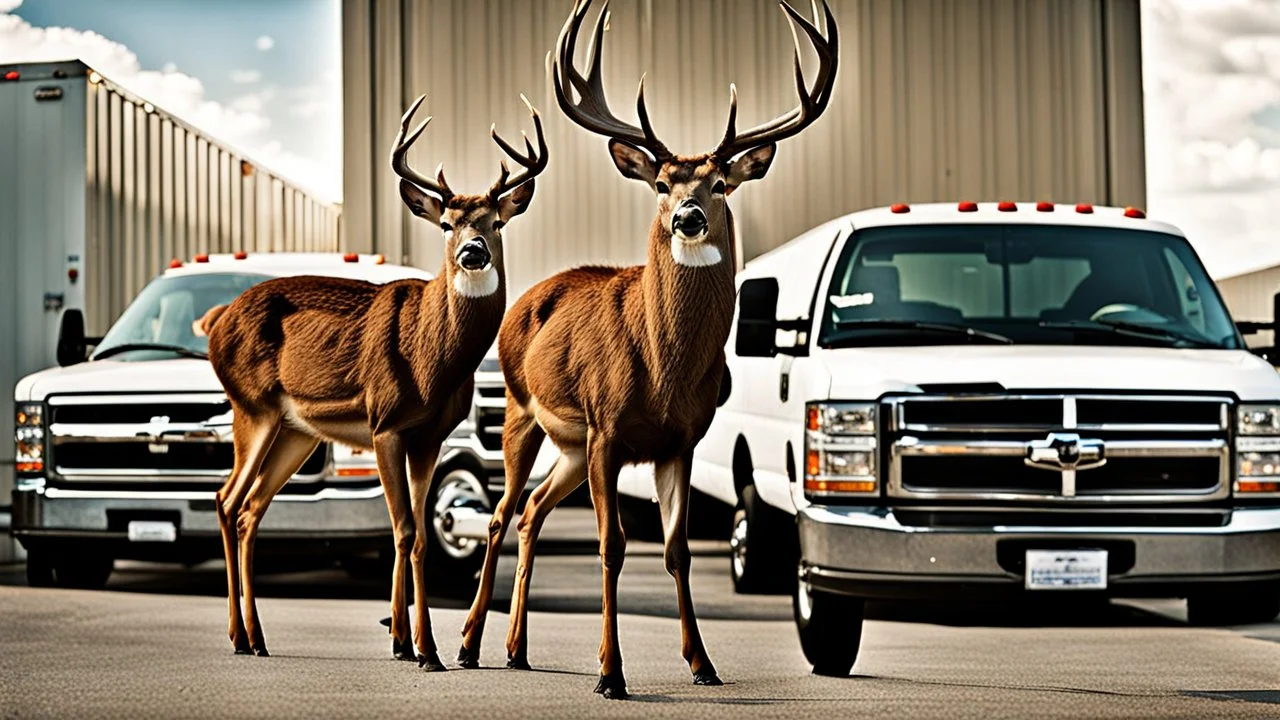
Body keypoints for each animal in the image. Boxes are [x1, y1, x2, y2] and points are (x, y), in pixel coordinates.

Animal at [204, 92, 545, 666]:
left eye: (496, 221)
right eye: (446, 223)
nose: (472, 251)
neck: (432, 358)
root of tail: (216, 320)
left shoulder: (429, 435)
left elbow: (419, 534)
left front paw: (412, 644)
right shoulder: (385, 423)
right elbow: (404, 529)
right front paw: (420, 647)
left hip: (295, 429)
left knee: (250, 508)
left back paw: (255, 638)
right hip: (252, 405)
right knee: (227, 501)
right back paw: (238, 637)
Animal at [458, 0, 839, 696]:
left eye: (721, 183)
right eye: (662, 182)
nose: (688, 215)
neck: (663, 367)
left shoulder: (678, 440)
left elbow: (676, 549)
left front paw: (703, 663)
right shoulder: (609, 429)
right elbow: (612, 548)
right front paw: (610, 672)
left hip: (571, 448)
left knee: (531, 513)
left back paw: (517, 649)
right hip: (526, 417)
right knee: (501, 515)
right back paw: (471, 644)